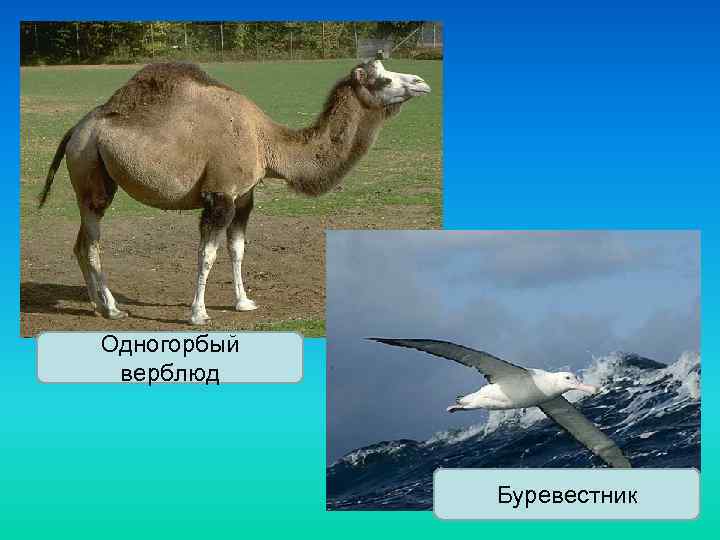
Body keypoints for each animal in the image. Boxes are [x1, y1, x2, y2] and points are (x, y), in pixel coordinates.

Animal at [38, 59, 431, 325]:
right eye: (384, 78)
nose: (422, 82)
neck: (265, 141)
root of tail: (76, 129)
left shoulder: (244, 197)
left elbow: (237, 249)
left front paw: (244, 303)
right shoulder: (220, 194)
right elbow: (208, 254)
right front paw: (198, 313)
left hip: (93, 175)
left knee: (80, 242)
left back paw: (96, 304)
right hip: (89, 168)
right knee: (92, 242)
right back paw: (114, 308)